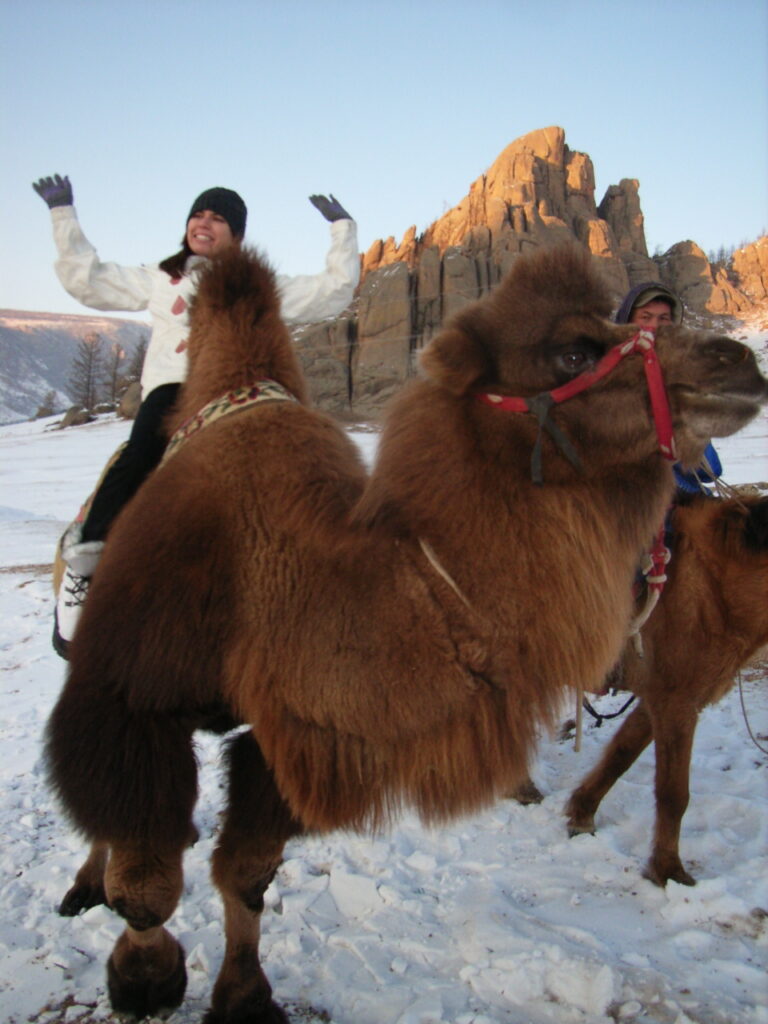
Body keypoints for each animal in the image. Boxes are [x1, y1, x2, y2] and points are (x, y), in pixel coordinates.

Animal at [565, 491, 768, 886]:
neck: (714, 586)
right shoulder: (676, 703)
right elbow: (674, 793)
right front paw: (668, 869)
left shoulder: (662, 698)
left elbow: (621, 754)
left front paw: (581, 813)